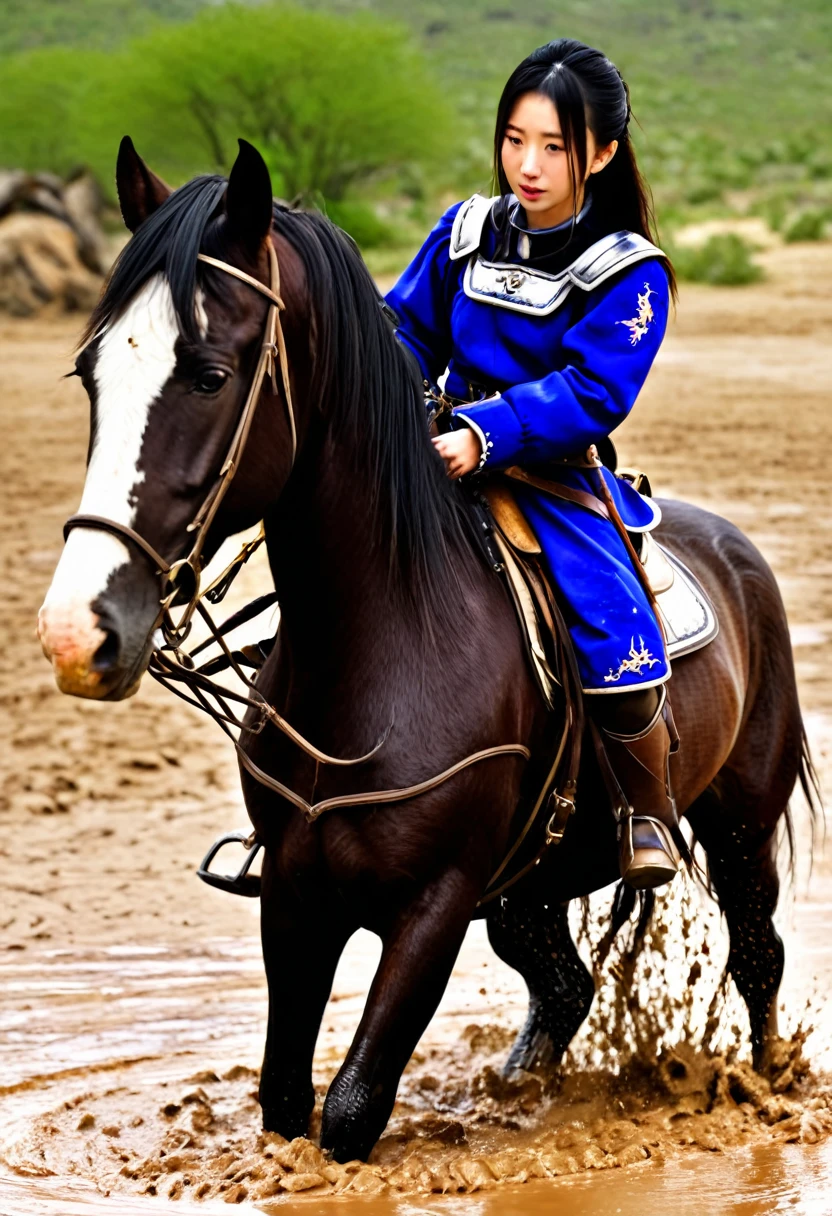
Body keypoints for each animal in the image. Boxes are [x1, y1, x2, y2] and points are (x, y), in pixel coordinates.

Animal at [38, 137, 816, 1164]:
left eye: (207, 374)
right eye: (91, 374)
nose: (78, 632)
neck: (384, 651)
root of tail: (735, 549)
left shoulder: (435, 908)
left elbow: (351, 1108)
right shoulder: (295, 895)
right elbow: (284, 1098)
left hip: (738, 826)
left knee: (757, 955)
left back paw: (763, 1092)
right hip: (533, 885)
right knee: (563, 983)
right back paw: (524, 1089)